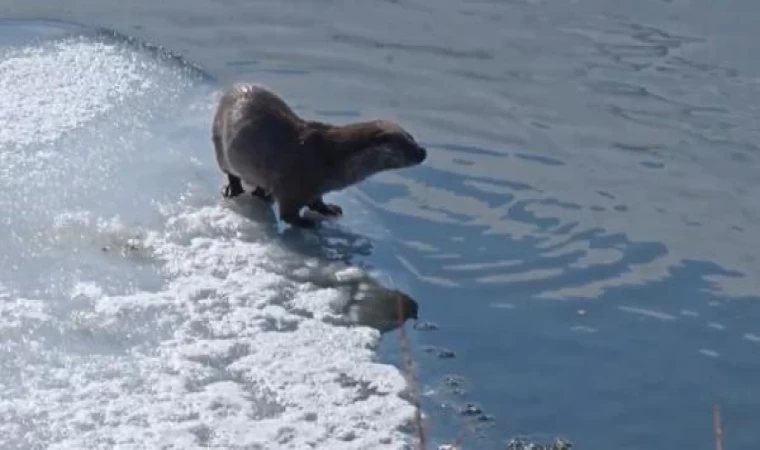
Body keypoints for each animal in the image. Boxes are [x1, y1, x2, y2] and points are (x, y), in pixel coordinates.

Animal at [211, 83, 428, 229]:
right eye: (405, 144)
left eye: (412, 137)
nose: (422, 152)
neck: (329, 157)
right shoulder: (292, 184)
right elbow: (288, 214)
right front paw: (305, 223)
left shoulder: (316, 186)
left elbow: (316, 201)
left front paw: (329, 209)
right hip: (221, 146)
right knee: (230, 173)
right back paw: (233, 189)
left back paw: (262, 193)